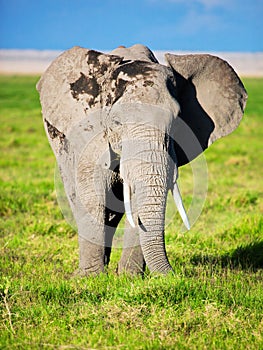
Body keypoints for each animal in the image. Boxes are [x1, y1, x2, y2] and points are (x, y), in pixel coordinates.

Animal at [36, 43, 249, 274]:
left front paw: (128, 277)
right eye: (117, 122)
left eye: (176, 122)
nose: (175, 275)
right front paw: (88, 278)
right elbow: (94, 193)